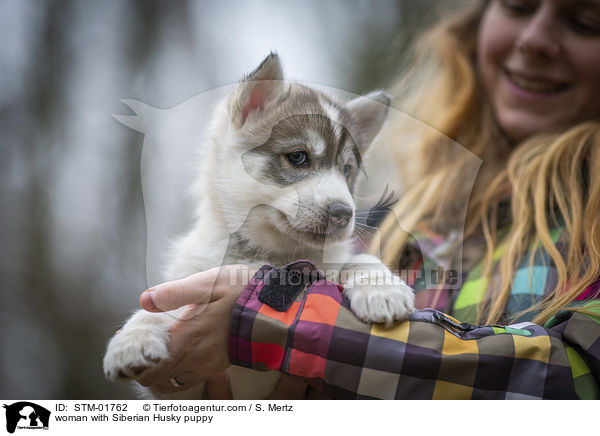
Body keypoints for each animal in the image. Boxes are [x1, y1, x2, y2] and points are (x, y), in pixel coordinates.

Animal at [103, 53, 412, 398]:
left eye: (346, 170)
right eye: (298, 157)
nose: (343, 213)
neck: (268, 254)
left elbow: (358, 260)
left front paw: (382, 288)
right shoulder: (184, 387)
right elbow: (167, 309)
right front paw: (134, 337)